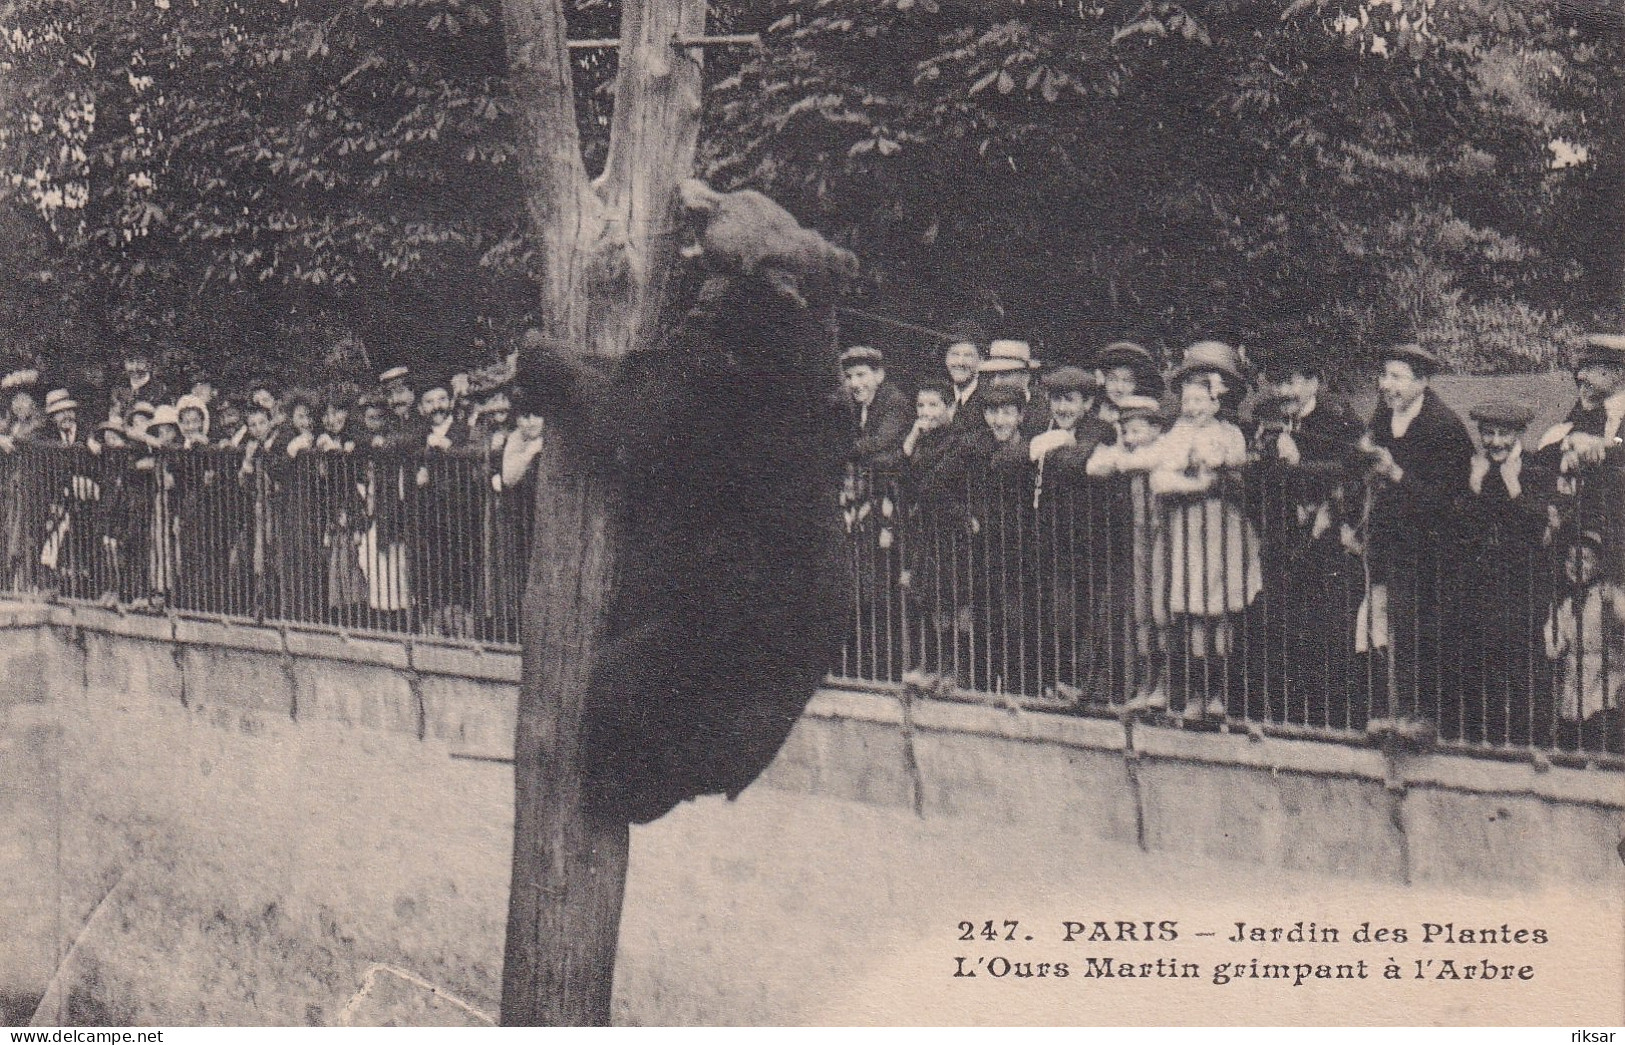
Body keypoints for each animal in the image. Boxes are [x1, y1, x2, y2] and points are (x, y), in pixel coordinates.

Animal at [516, 183, 864, 828]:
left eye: (730, 205)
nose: (691, 190)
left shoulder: (723, 394)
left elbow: (633, 409)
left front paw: (541, 354)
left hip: (705, 633)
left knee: (625, 687)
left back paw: (618, 783)